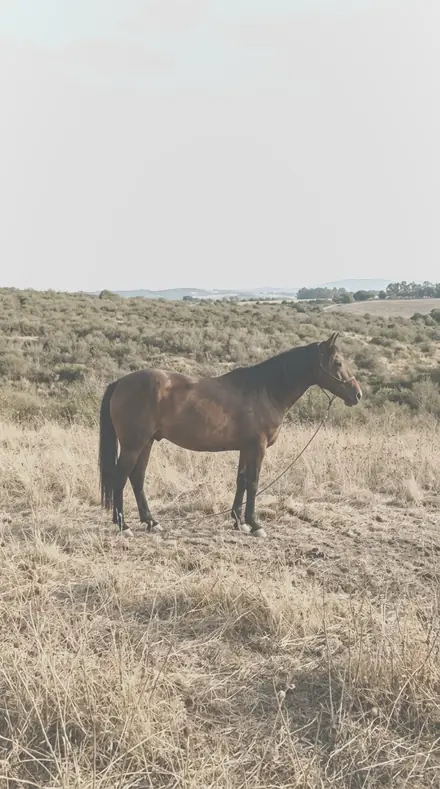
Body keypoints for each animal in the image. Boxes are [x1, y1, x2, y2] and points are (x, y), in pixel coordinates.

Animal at [98, 332, 362, 539]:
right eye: (337, 362)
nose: (357, 394)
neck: (266, 390)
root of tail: (121, 382)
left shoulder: (246, 448)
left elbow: (241, 481)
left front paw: (239, 522)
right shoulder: (258, 447)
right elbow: (253, 483)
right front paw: (255, 525)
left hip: (147, 443)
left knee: (137, 478)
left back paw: (151, 522)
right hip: (133, 445)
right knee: (120, 478)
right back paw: (124, 525)